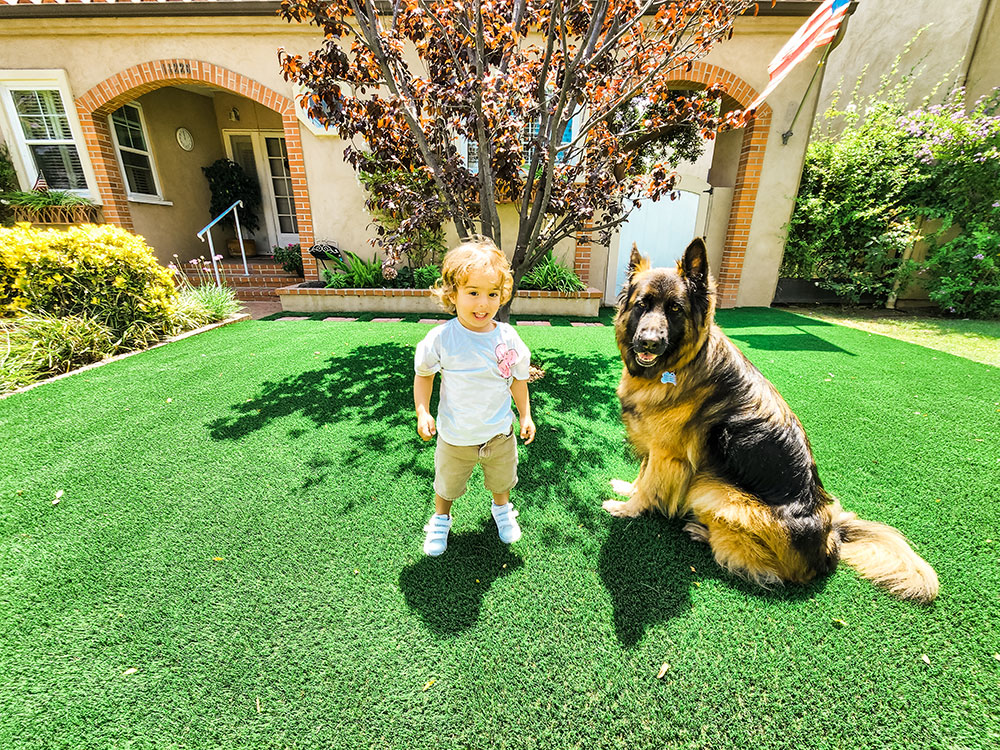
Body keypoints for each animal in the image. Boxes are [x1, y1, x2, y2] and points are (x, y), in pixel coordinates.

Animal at [604, 241, 940, 604]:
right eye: (642, 304)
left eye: (676, 309)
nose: (648, 342)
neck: (680, 365)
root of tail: (831, 537)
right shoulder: (656, 446)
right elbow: (643, 476)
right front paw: (627, 489)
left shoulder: (669, 454)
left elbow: (650, 485)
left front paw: (627, 508)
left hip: (712, 489)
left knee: (765, 567)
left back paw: (704, 532)